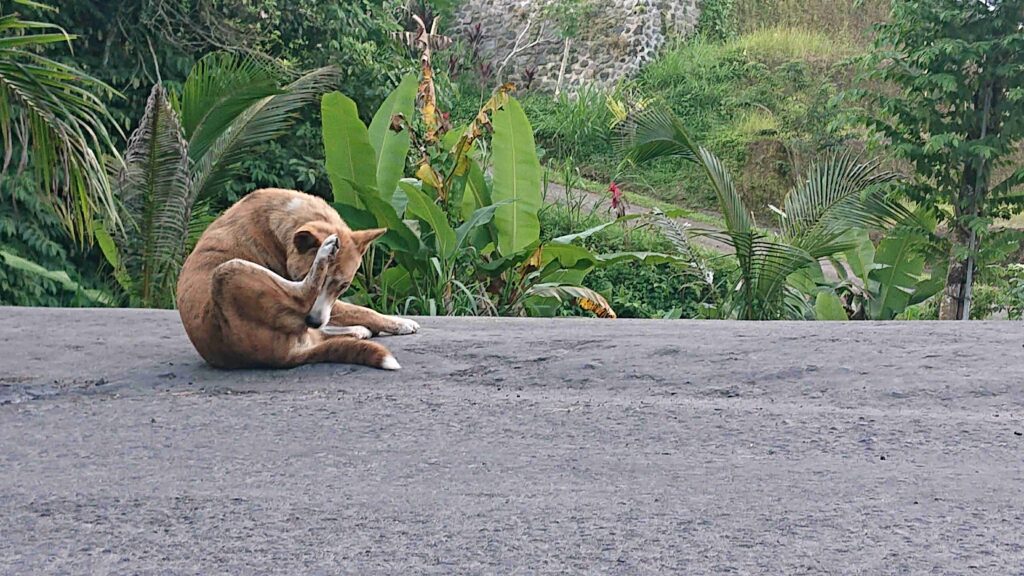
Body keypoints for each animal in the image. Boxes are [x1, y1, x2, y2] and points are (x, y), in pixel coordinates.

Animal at [177, 186, 419, 368]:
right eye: (298, 275)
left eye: (343, 286)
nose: (312, 321)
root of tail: (283, 356)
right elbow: (360, 309)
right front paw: (399, 322)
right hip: (230, 271)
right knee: (304, 297)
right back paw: (325, 254)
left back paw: (356, 331)